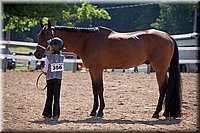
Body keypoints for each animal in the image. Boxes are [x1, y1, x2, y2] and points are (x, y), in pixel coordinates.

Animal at [34, 20, 181, 118]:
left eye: (47, 37)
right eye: (38, 36)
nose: (37, 54)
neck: (88, 41)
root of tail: (168, 36)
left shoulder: (97, 69)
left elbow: (99, 89)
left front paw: (99, 111)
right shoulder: (93, 71)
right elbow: (95, 89)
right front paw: (94, 111)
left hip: (160, 69)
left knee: (163, 88)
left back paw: (156, 113)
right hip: (162, 69)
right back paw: (165, 112)